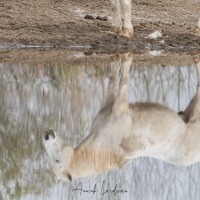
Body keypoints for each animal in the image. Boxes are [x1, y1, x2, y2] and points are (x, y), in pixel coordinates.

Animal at [43, 53, 200, 181]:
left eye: (56, 160)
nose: (47, 134)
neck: (104, 145)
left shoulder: (115, 106)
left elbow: (118, 79)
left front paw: (121, 58)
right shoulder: (117, 107)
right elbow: (119, 81)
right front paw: (123, 59)